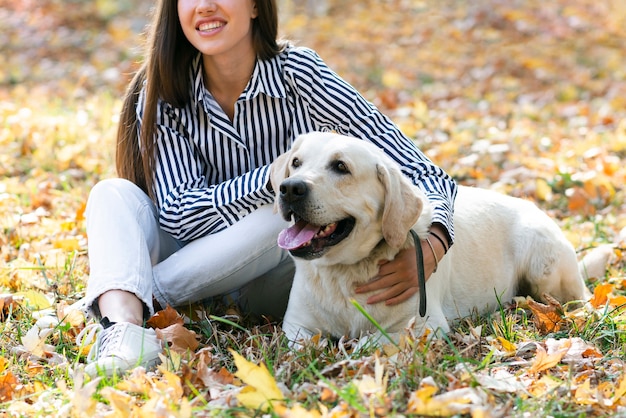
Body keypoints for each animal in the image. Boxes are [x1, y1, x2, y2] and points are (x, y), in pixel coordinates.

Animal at [270, 132, 588, 344]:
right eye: (295, 162)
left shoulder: (424, 325)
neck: (344, 274)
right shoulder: (296, 325)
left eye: (340, 167)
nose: (289, 188)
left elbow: (370, 340)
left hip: (542, 266)